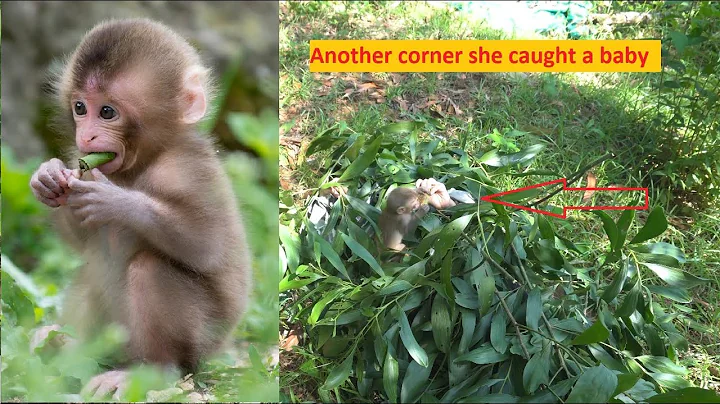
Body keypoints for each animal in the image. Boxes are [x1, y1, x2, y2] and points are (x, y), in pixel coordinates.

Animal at [28, 18, 251, 400]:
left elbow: (207, 244)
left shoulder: (187, 167)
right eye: (80, 108)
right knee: (92, 268)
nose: (86, 136)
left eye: (107, 112)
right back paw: (65, 346)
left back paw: (151, 372)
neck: (144, 160)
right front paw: (49, 177)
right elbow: (81, 238)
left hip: (202, 342)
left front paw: (116, 201)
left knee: (150, 269)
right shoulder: (81, 161)